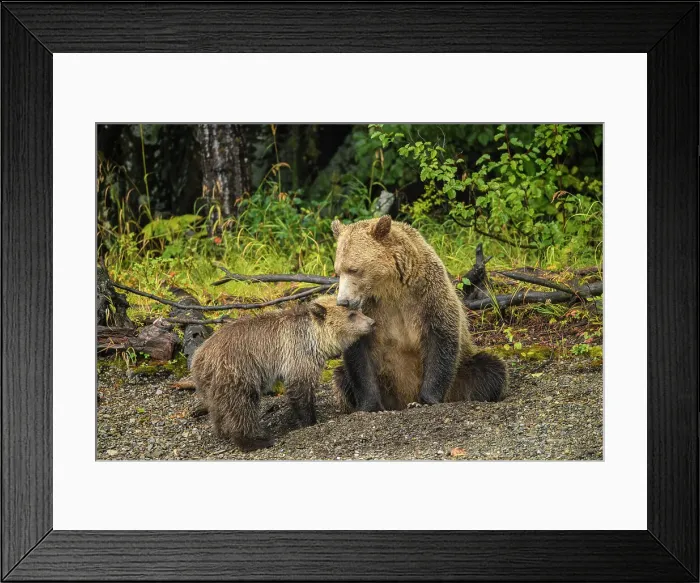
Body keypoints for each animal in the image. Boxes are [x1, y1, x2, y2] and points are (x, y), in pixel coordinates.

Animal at [190, 294, 375, 451]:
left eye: (358, 310)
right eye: (351, 315)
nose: (372, 322)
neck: (314, 338)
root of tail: (199, 357)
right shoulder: (297, 353)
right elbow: (300, 389)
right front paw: (309, 420)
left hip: (213, 383)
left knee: (218, 407)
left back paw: (222, 431)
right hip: (237, 371)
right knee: (241, 406)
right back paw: (254, 441)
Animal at [330, 215, 507, 412]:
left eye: (354, 269)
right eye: (337, 271)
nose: (343, 301)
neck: (391, 288)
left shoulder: (426, 294)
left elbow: (440, 336)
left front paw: (425, 399)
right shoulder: (372, 308)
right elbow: (359, 354)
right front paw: (370, 405)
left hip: (463, 370)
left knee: (489, 369)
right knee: (340, 377)